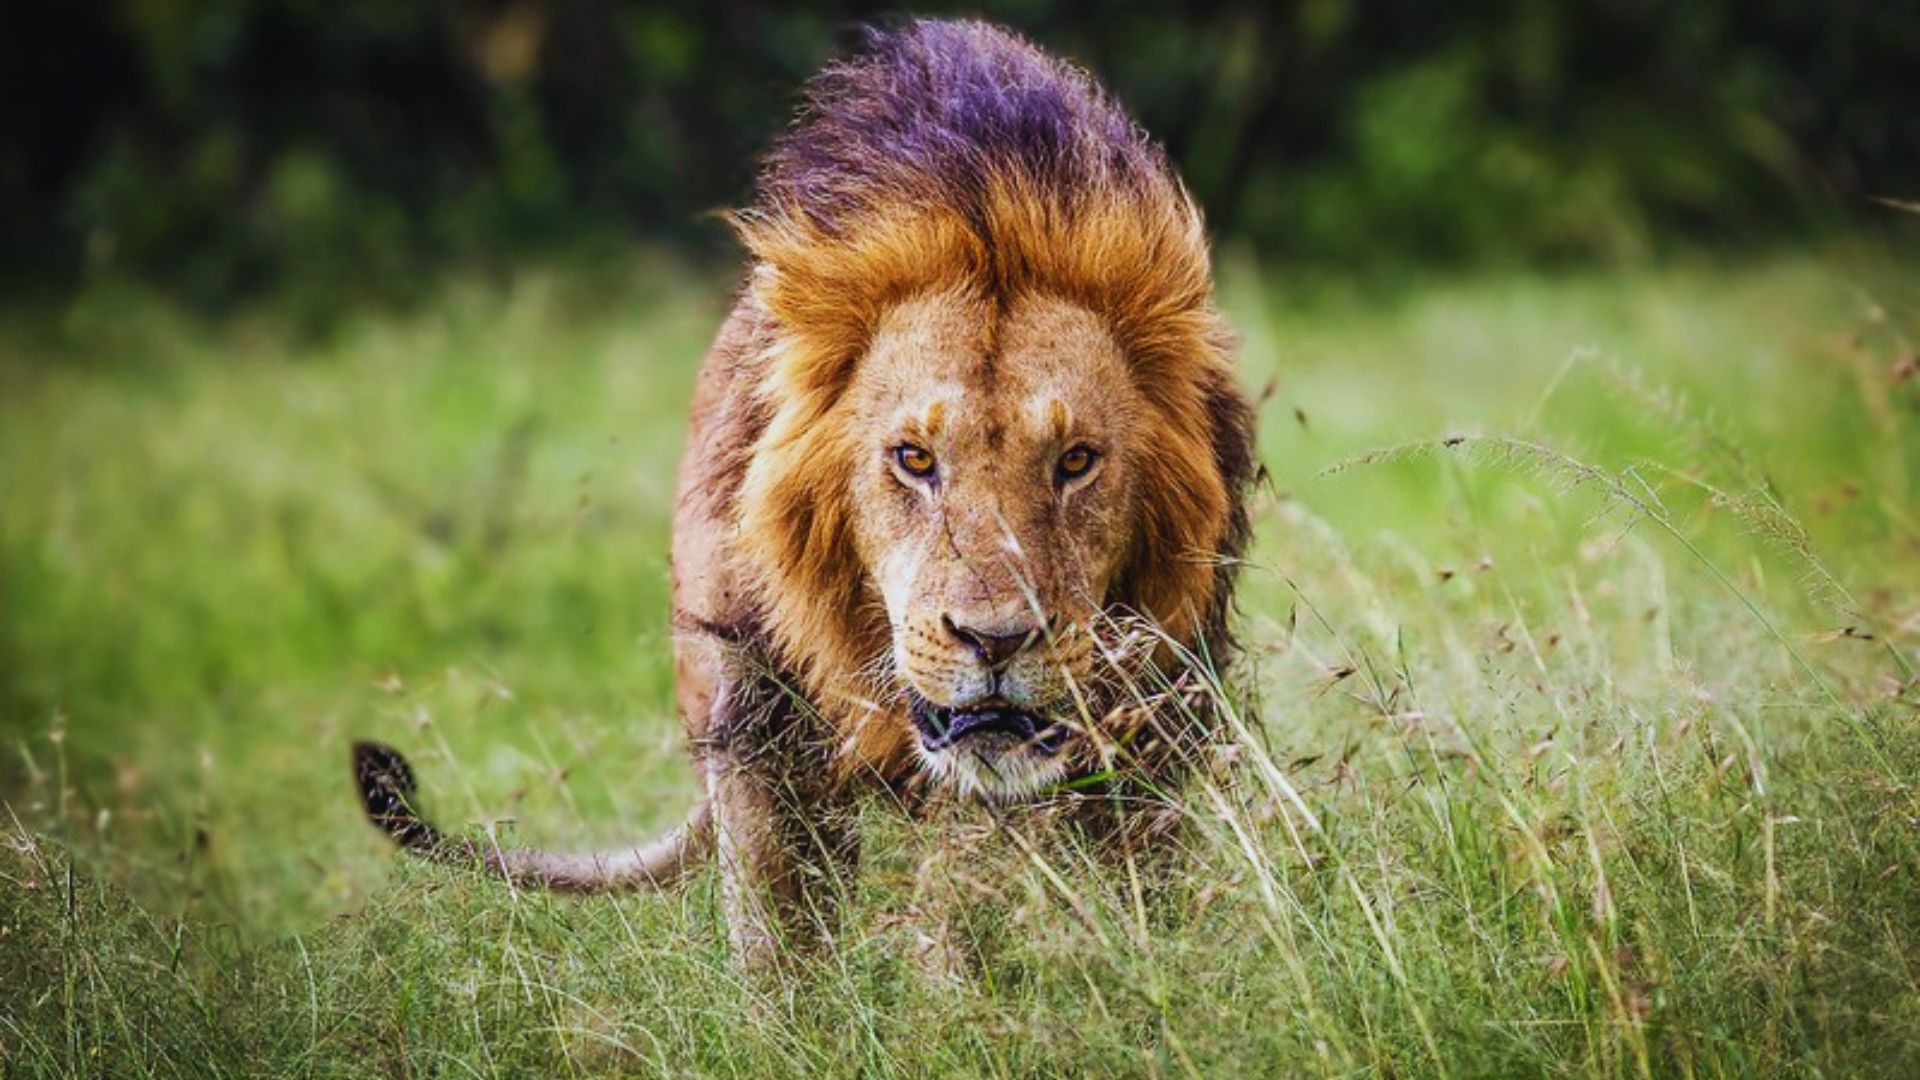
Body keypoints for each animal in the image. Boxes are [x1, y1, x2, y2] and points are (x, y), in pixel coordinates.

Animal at [353, 18, 1256, 968]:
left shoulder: (1153, 715)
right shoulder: (753, 712)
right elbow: (780, 934)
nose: (997, 641)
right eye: (913, 458)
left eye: (1077, 461)